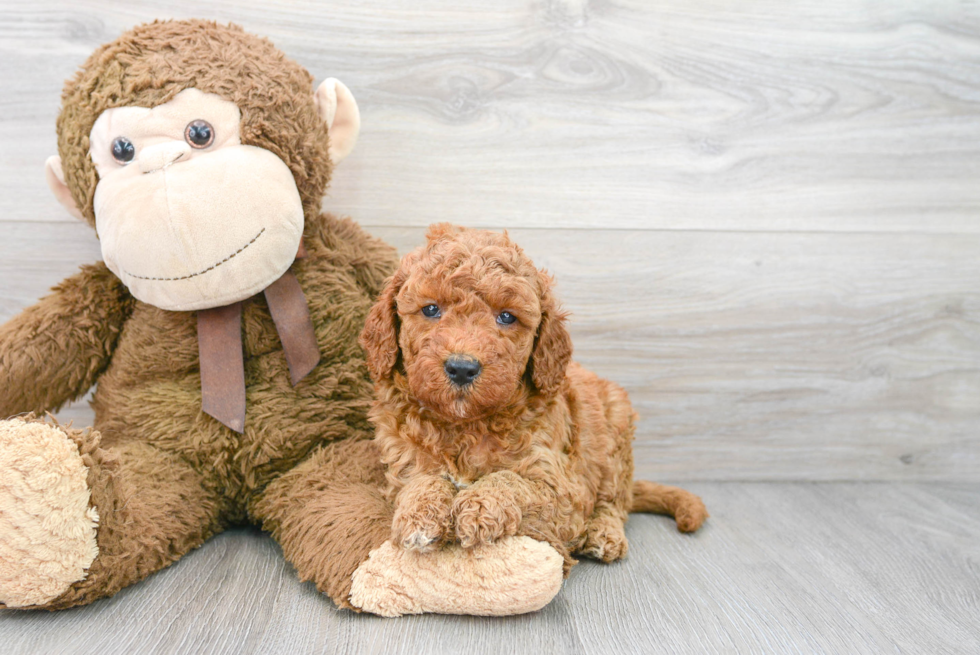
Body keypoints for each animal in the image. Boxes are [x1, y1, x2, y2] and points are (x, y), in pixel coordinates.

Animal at [358, 223, 704, 572]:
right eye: (431, 309)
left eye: (506, 317)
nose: (462, 368)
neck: (466, 425)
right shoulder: (402, 462)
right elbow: (420, 480)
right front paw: (419, 513)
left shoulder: (562, 487)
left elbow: (510, 480)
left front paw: (478, 507)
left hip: (615, 436)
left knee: (615, 501)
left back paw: (604, 533)